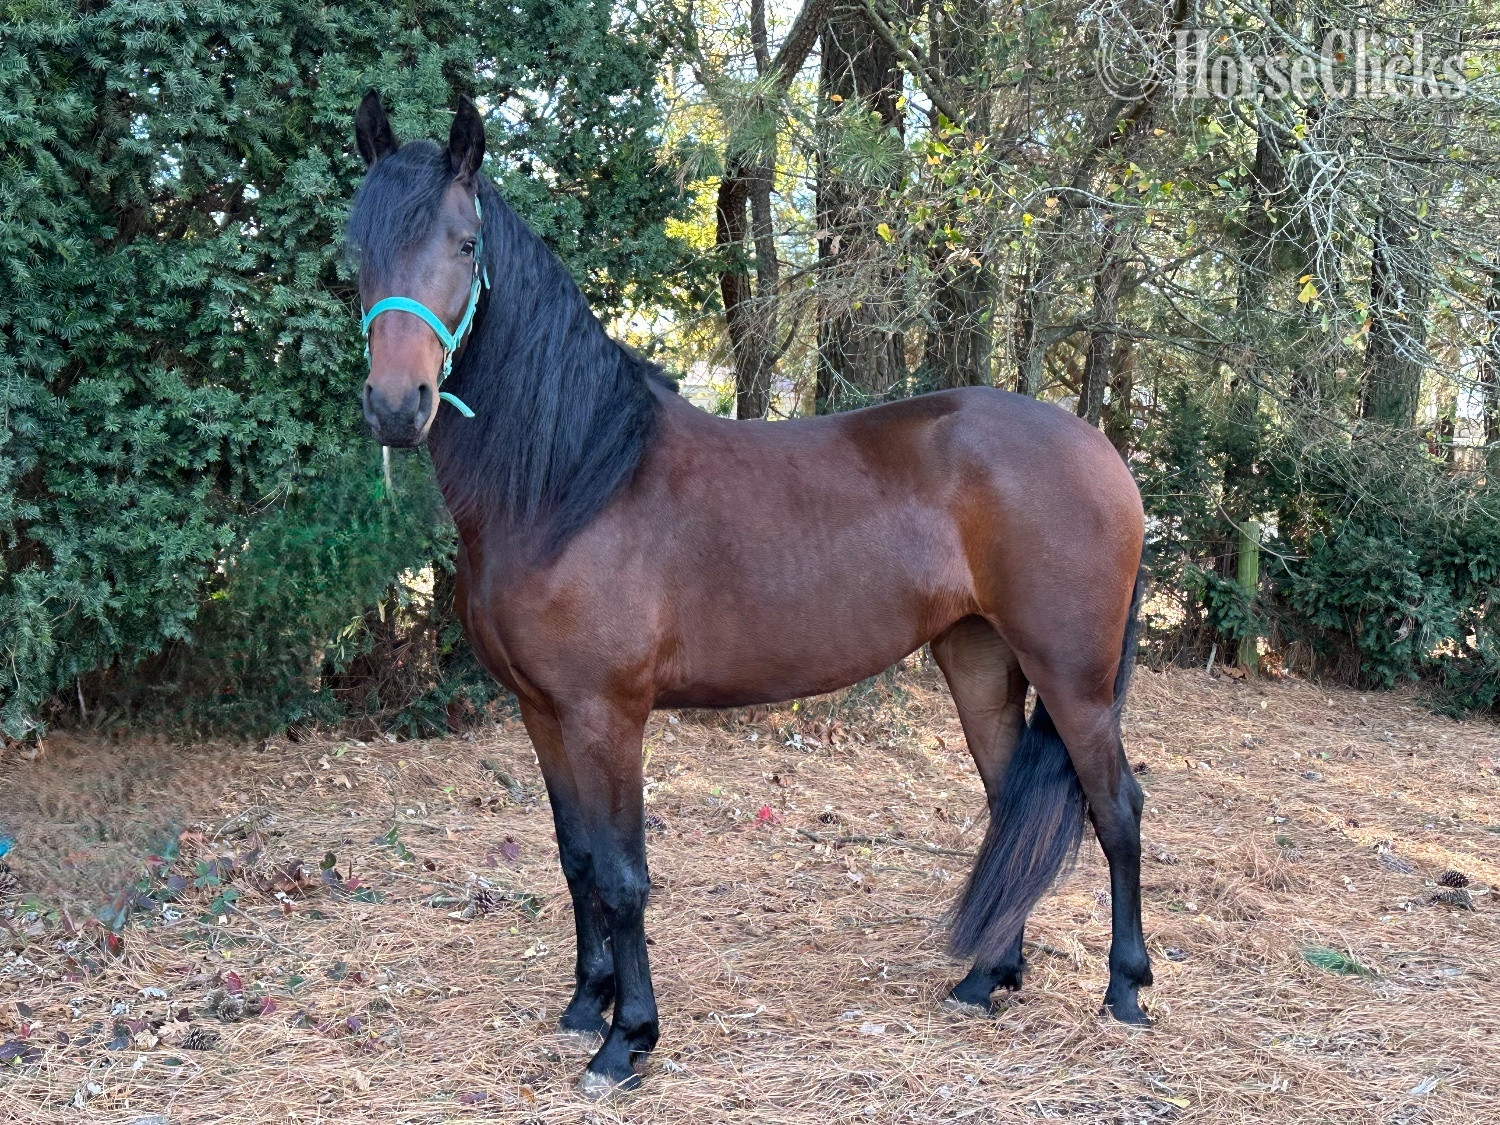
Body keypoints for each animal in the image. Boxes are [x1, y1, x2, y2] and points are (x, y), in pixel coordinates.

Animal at [348, 93, 1151, 1097]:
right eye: (358, 248)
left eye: (463, 244)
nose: (396, 405)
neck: (572, 481)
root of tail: (1105, 454)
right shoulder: (542, 711)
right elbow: (576, 860)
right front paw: (583, 1005)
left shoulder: (606, 712)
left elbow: (623, 873)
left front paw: (628, 1039)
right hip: (980, 660)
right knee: (1016, 806)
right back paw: (984, 979)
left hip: (1075, 678)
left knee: (1116, 809)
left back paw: (1125, 991)